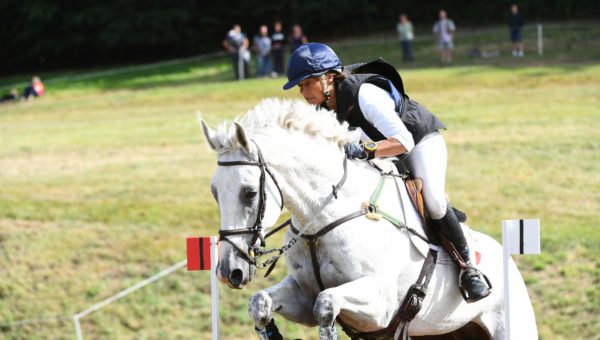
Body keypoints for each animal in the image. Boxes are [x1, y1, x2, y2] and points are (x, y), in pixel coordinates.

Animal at [199, 97, 536, 338]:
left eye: (249, 193)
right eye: (214, 192)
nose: (229, 272)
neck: (322, 218)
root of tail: (509, 260)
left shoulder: (381, 305)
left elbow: (326, 305)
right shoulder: (303, 294)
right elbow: (261, 303)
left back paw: (474, 280)